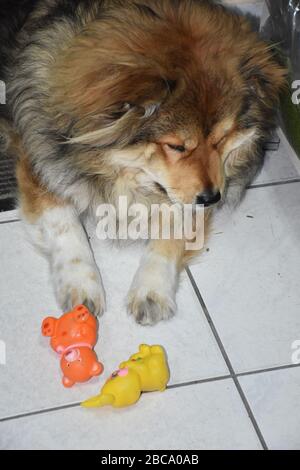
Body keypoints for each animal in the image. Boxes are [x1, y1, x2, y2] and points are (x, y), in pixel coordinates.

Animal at [0, 0, 286, 324]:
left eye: (222, 138)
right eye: (176, 146)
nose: (212, 198)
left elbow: (173, 228)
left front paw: (152, 290)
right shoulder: (37, 158)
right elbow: (64, 222)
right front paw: (80, 284)